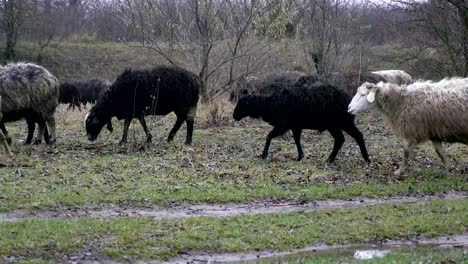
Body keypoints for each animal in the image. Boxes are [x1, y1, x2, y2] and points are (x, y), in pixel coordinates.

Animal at [232, 84, 372, 163]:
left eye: (242, 104)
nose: (234, 116)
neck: (269, 105)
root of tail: (348, 100)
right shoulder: (295, 126)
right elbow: (297, 140)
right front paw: (300, 156)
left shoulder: (283, 125)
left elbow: (269, 136)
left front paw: (264, 155)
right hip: (342, 123)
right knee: (352, 137)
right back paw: (365, 159)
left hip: (337, 123)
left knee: (343, 139)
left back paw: (330, 160)